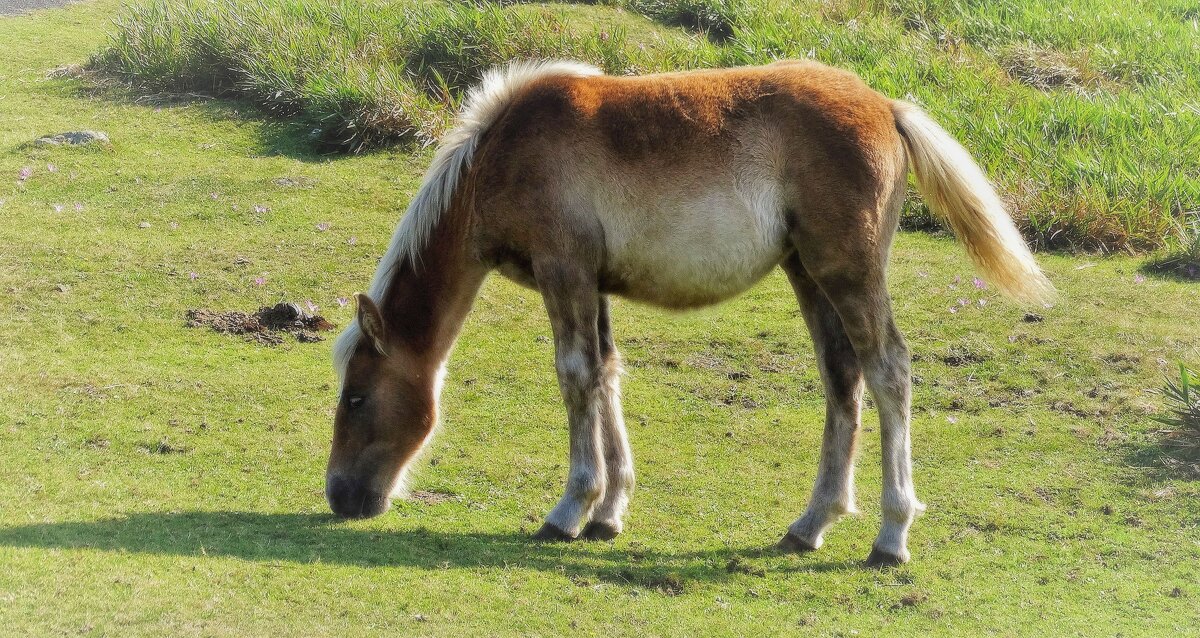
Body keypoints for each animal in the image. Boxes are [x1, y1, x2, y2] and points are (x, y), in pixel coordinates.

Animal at [328, 59, 1051, 566]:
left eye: (358, 398)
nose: (338, 496)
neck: (501, 155)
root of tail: (886, 106)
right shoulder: (593, 284)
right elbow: (606, 374)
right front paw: (608, 512)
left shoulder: (566, 271)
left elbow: (576, 376)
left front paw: (569, 509)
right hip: (809, 275)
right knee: (842, 379)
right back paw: (810, 525)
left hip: (848, 273)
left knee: (889, 373)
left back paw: (891, 536)